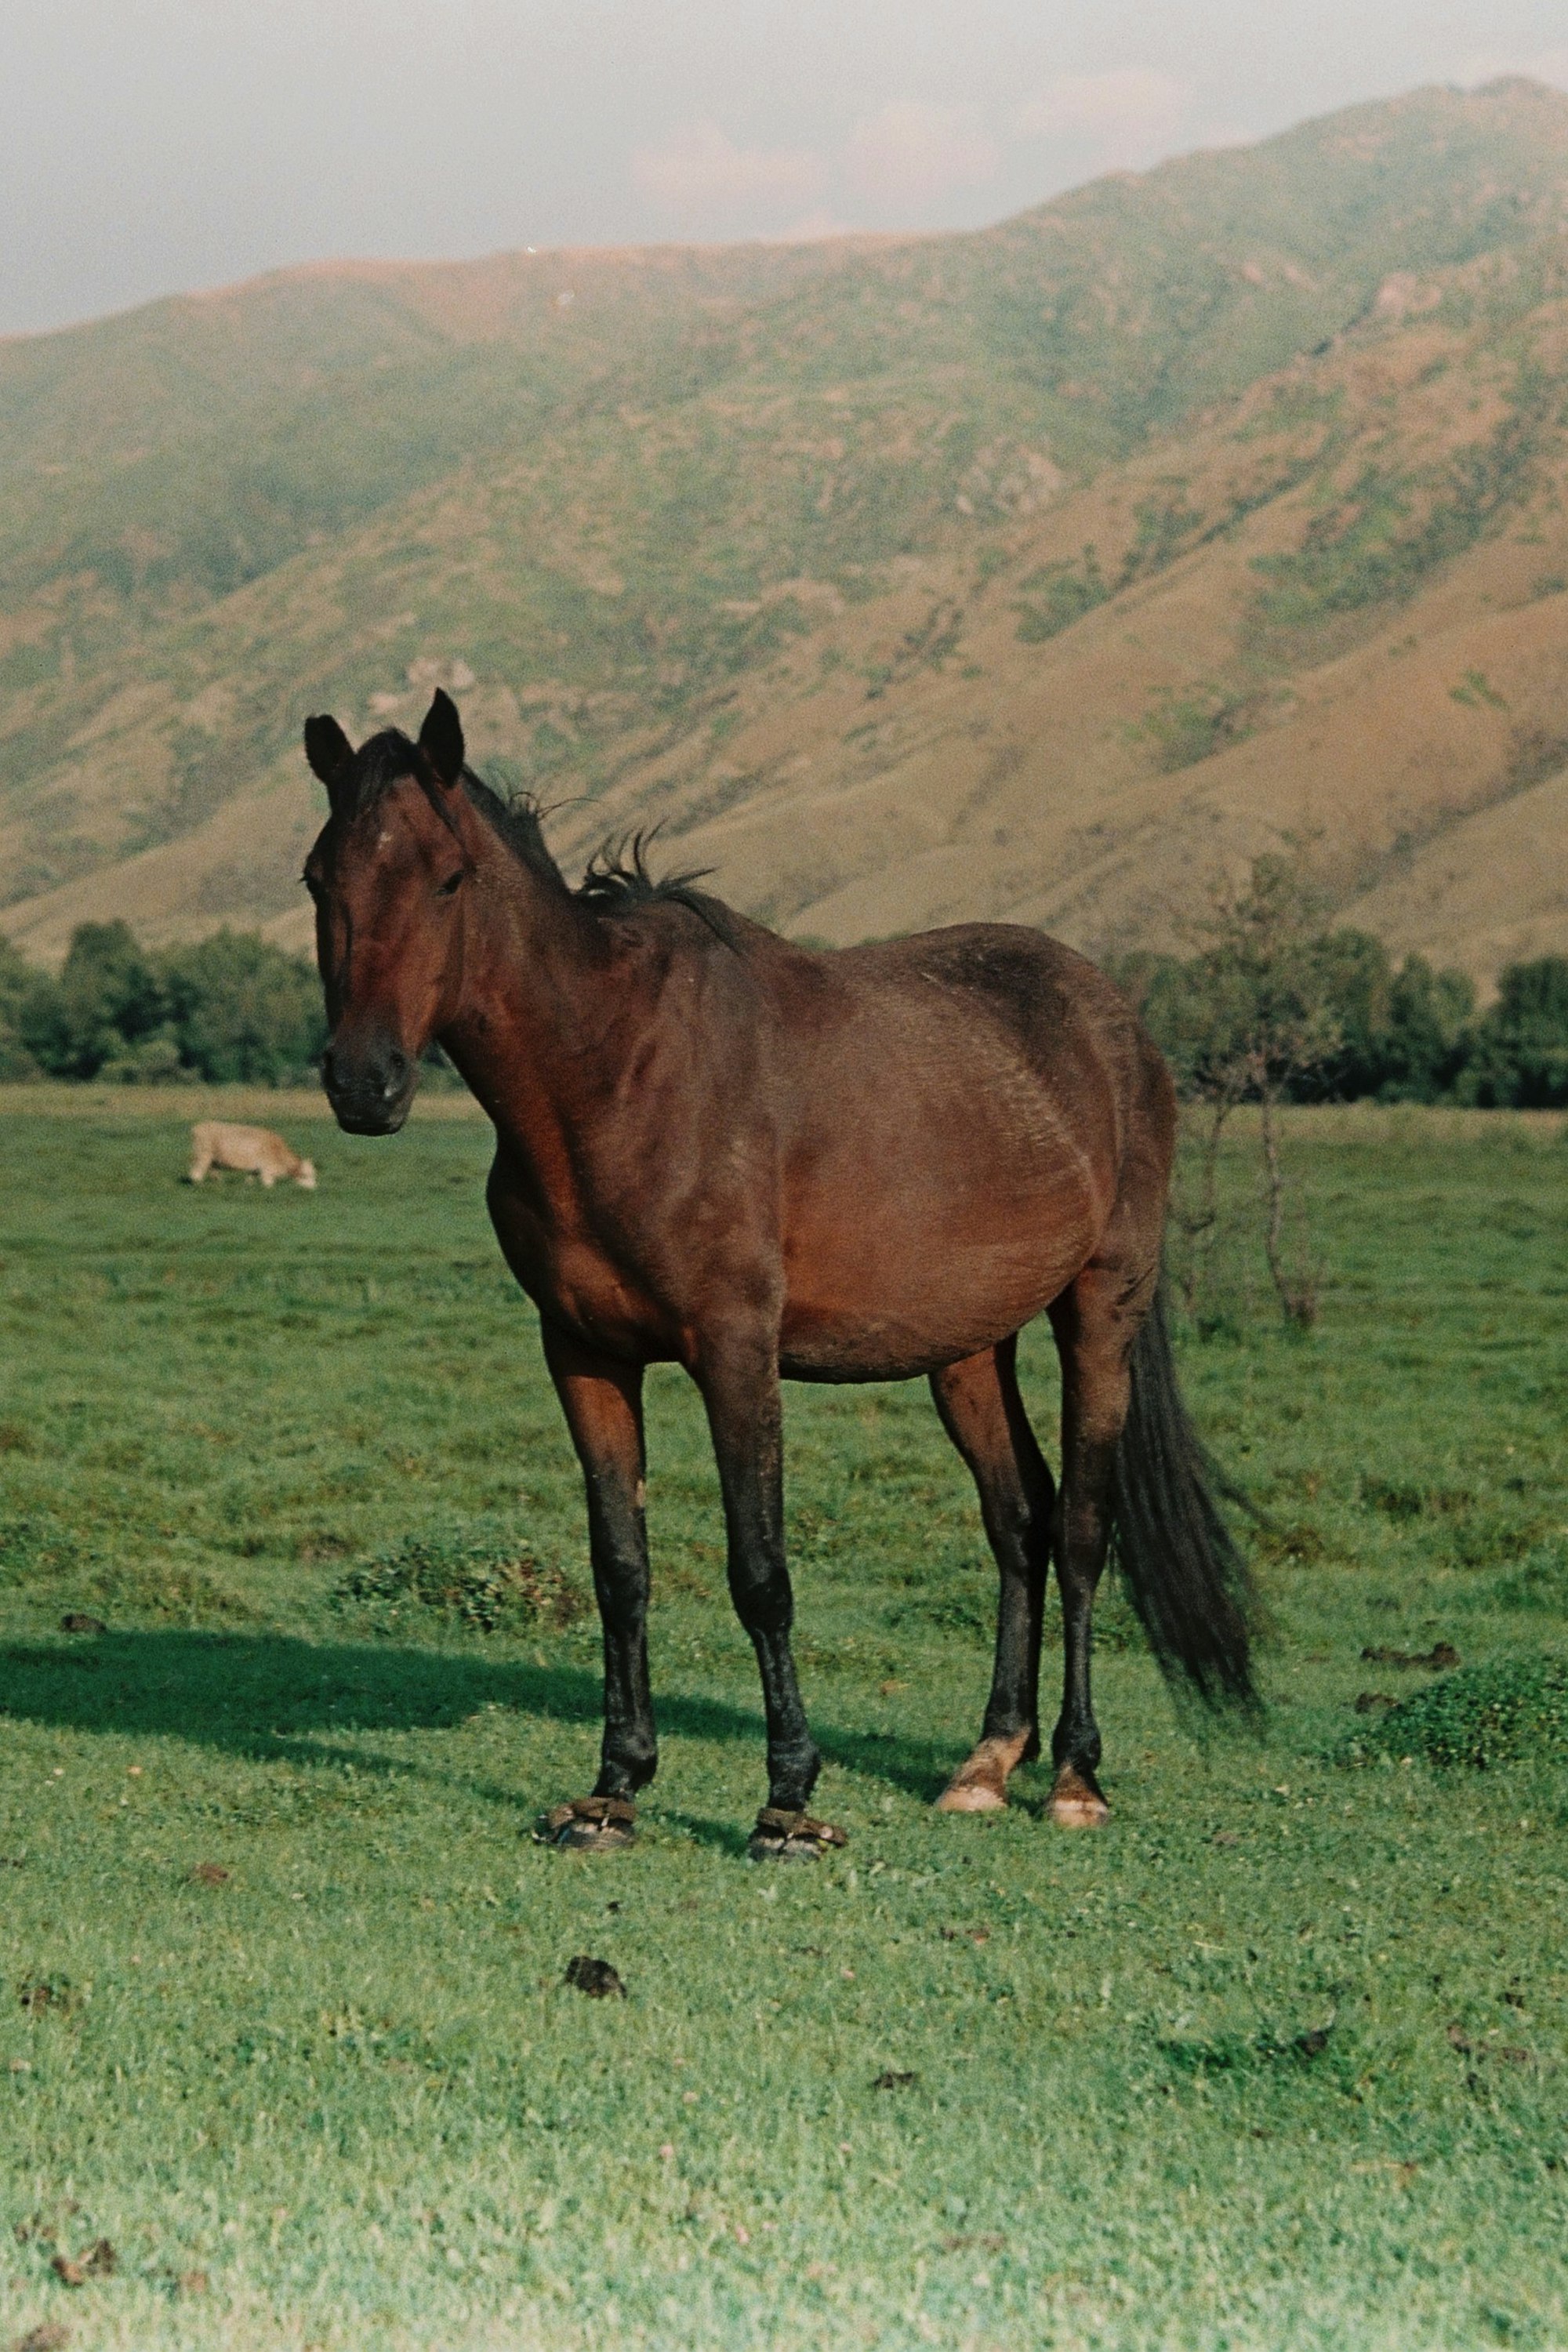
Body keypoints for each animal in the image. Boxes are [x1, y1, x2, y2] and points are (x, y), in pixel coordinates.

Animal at [302, 689, 1254, 1858]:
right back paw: (989, 1759)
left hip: (1099, 1308)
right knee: (1017, 1519)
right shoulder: (582, 1355)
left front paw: (788, 1800)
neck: (611, 1076)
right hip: (966, 1349)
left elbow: (760, 1572)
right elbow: (620, 1568)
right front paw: (614, 1789)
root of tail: (1113, 1019)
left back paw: (1074, 1775)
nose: (364, 1081)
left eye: (448, 877)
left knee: (1078, 1528)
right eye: (319, 877)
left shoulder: (735, 1351)